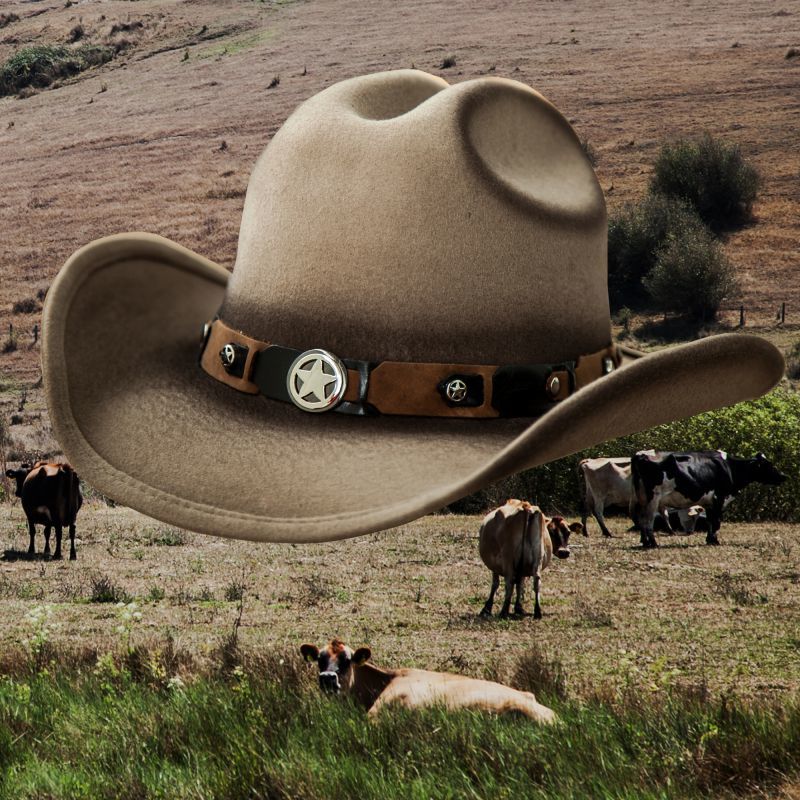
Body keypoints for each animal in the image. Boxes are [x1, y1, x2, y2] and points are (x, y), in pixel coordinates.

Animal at [632, 450, 788, 552]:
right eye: (768, 465)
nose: (783, 476)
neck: (730, 467)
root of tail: (641, 455)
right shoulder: (719, 498)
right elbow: (716, 521)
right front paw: (715, 541)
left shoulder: (709, 502)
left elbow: (710, 521)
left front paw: (709, 539)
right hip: (652, 499)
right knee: (648, 521)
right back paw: (653, 543)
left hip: (641, 499)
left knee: (641, 520)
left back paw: (645, 542)